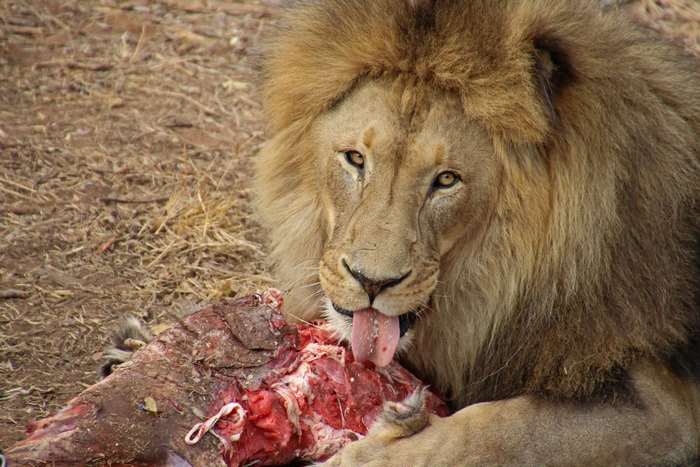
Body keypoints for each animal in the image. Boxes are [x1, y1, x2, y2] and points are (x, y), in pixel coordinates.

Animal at [254, 0, 700, 465]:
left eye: (447, 180)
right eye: (355, 158)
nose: (371, 282)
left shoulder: (667, 404)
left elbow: (492, 430)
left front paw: (375, 448)